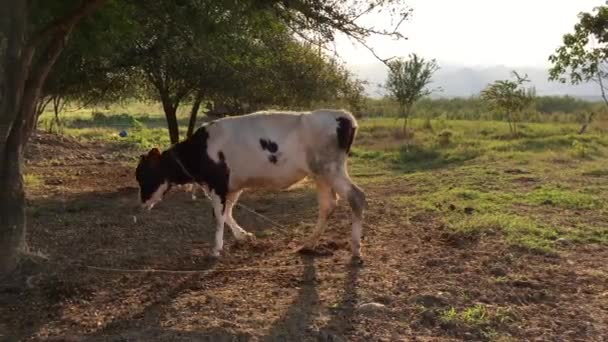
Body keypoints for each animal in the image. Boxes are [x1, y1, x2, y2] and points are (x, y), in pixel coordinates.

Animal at [135, 109, 368, 260]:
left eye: (143, 175)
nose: (143, 203)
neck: (200, 149)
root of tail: (343, 116)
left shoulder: (218, 184)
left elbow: (218, 217)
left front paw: (216, 250)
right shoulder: (233, 186)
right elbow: (228, 213)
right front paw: (243, 236)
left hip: (330, 169)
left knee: (356, 196)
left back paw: (356, 249)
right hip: (321, 174)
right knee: (328, 205)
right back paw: (308, 244)